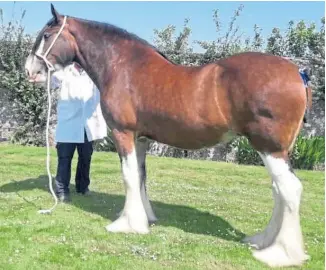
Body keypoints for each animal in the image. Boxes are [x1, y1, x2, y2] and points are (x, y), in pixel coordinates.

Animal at [24, 4, 310, 268]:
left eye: (47, 35)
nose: (30, 71)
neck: (123, 67)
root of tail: (297, 73)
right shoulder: (141, 139)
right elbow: (140, 177)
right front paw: (146, 218)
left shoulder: (123, 134)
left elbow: (128, 176)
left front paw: (126, 224)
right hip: (275, 150)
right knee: (279, 190)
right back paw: (263, 240)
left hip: (269, 147)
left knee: (290, 189)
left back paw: (279, 253)